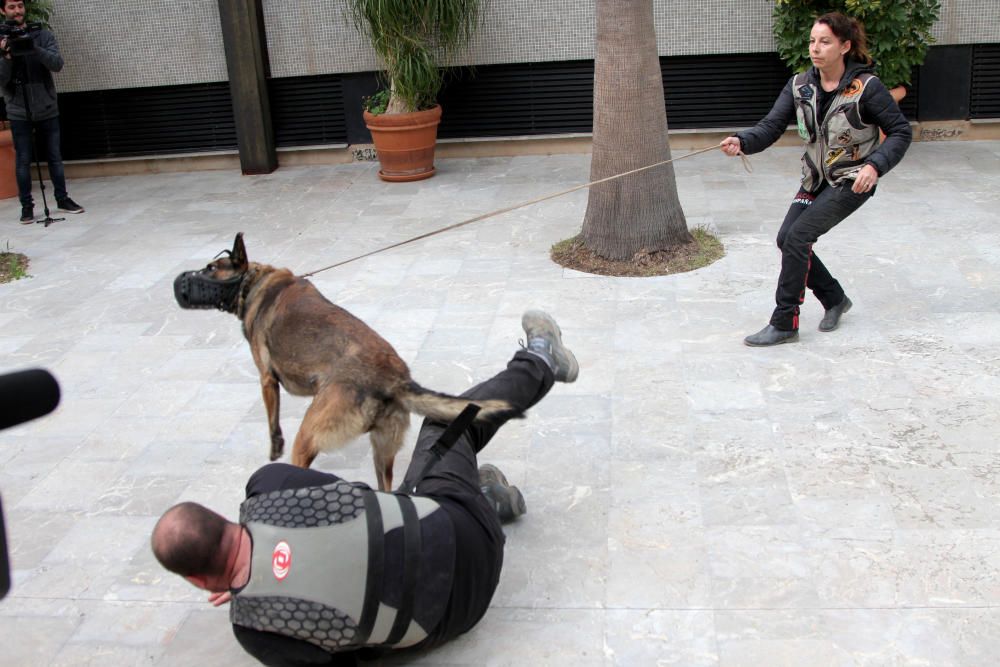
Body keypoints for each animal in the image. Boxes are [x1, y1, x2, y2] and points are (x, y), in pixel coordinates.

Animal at [175, 234, 516, 490]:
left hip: (308, 438)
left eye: (210, 267)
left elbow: (272, 419)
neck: (252, 282)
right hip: (382, 452)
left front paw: (274, 447)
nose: (179, 281)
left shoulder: (267, 379)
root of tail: (394, 380)